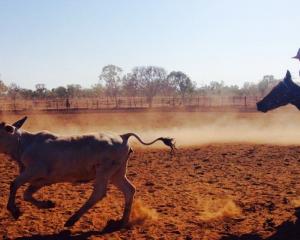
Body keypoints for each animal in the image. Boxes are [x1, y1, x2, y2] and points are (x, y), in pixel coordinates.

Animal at [0, 117, 175, 229]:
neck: (24, 143)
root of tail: (122, 136)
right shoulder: (42, 179)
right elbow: (27, 194)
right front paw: (47, 204)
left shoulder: (34, 171)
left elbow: (14, 184)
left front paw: (14, 210)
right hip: (117, 174)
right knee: (129, 190)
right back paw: (122, 222)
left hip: (104, 172)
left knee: (99, 193)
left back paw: (72, 220)